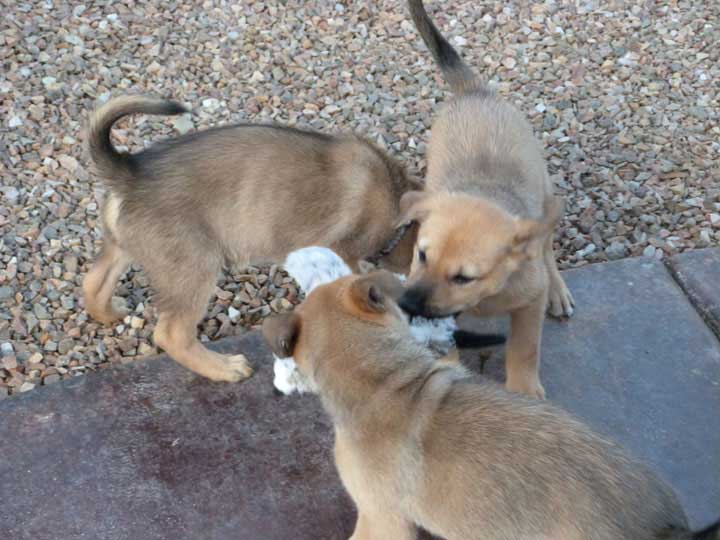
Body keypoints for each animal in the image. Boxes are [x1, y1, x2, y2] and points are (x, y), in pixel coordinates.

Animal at [82, 96, 416, 384]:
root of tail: (128, 174)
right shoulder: (341, 251)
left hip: (126, 247)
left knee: (93, 282)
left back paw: (110, 312)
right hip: (193, 266)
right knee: (172, 334)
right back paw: (223, 368)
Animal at [396, 0, 576, 396]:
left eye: (464, 278)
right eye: (421, 254)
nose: (406, 304)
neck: (483, 301)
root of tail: (473, 91)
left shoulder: (528, 301)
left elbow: (525, 346)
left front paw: (525, 389)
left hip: (545, 192)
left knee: (546, 247)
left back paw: (557, 289)